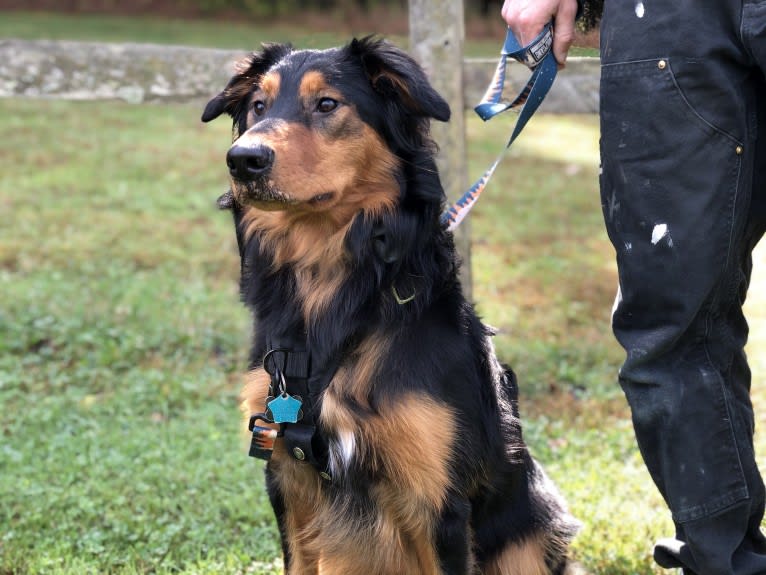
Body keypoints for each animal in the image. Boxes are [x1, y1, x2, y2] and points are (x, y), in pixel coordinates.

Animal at [201, 38, 580, 572]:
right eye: (258, 106)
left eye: (327, 104)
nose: (241, 159)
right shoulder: (287, 481)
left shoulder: (437, 501)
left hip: (527, 539)